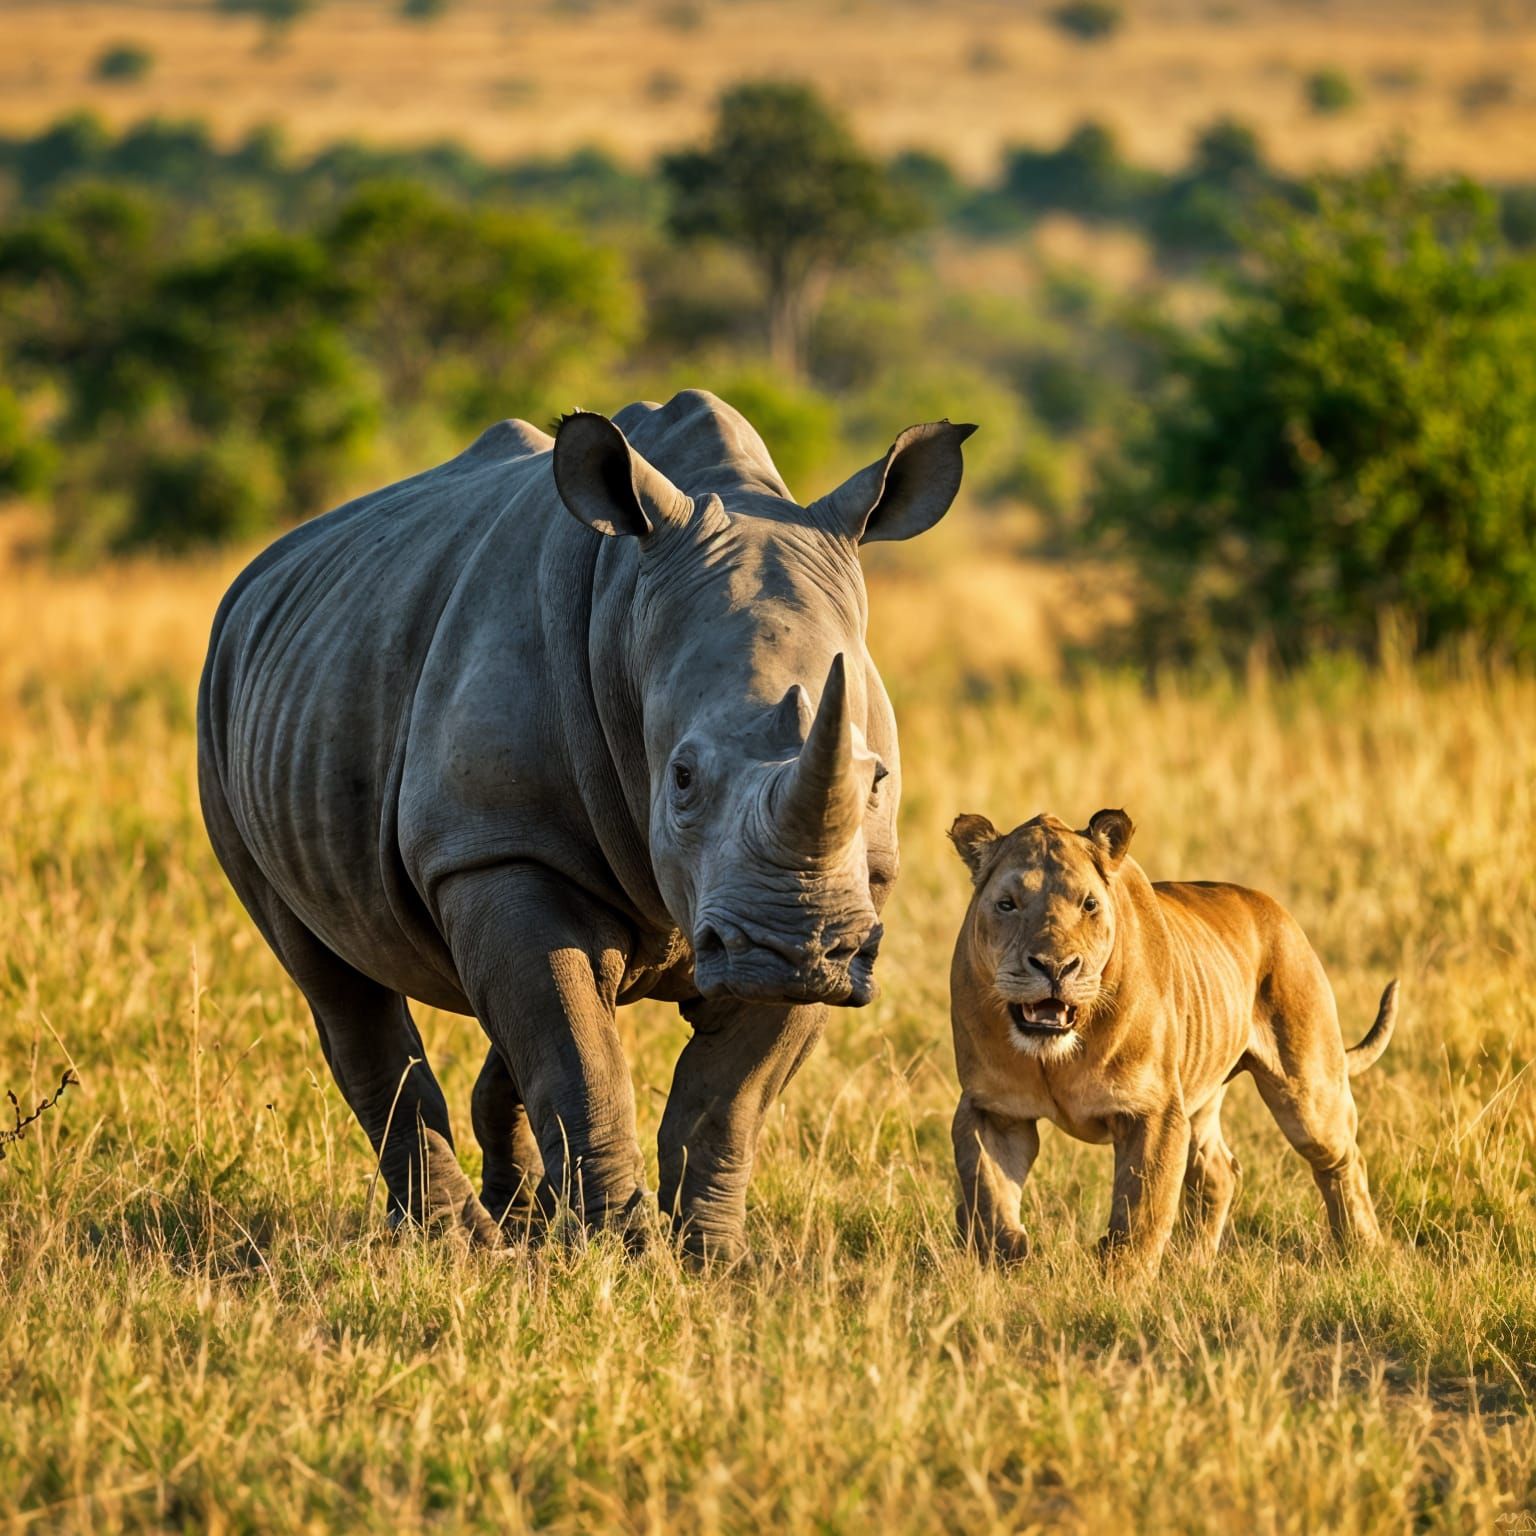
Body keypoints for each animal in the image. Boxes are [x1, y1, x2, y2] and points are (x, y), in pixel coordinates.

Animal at [198, 389, 974, 1259]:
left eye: (876, 780)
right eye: (682, 778)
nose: (791, 949)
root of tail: (259, 574)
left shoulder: (850, 894)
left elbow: (727, 1092)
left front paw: (714, 1257)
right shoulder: (499, 844)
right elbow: (578, 1053)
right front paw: (623, 1252)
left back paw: (520, 1219)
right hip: (224, 709)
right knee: (334, 981)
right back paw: (460, 1242)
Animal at [946, 808, 1397, 1271]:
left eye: (1089, 904)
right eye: (1007, 904)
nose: (1056, 966)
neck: (1056, 1055)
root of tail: (1273, 907)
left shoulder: (1155, 1109)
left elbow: (1141, 1213)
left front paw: (1119, 1283)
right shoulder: (992, 1108)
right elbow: (989, 1195)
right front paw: (1008, 1263)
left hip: (1308, 1090)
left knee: (1343, 1159)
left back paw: (1365, 1250)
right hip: (1200, 1089)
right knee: (1218, 1171)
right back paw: (1194, 1263)